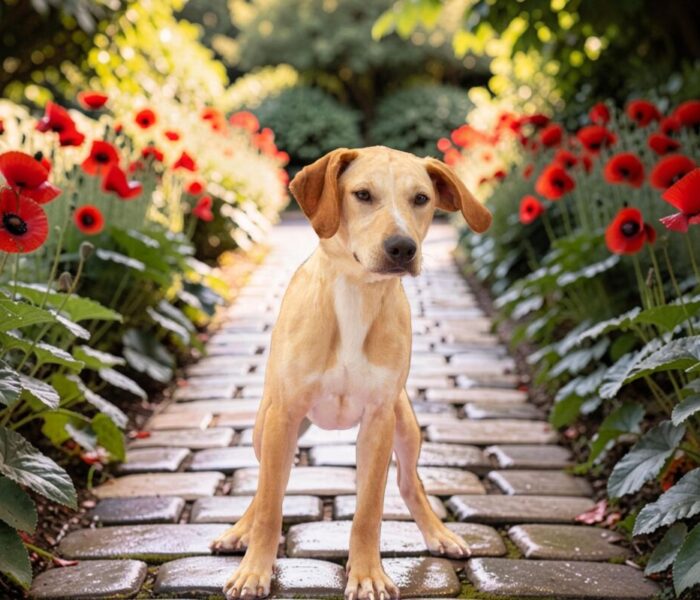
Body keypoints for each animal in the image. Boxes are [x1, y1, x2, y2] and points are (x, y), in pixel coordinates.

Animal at [211, 146, 492, 600]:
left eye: (421, 198)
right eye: (362, 194)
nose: (402, 248)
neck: (357, 295)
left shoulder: (378, 419)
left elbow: (369, 510)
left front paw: (367, 574)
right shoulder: (283, 416)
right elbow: (271, 502)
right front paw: (254, 571)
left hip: (405, 424)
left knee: (409, 483)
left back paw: (439, 534)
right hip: (263, 426)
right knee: (266, 485)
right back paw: (240, 530)